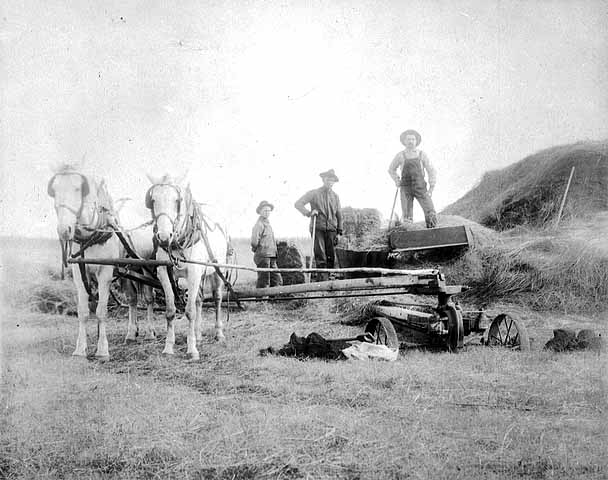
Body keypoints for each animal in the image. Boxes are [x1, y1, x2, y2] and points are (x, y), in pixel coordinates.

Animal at [48, 167, 157, 358]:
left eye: (78, 189)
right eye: (54, 190)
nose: (64, 230)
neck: (92, 235)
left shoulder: (105, 273)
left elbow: (101, 311)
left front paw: (102, 350)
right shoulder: (79, 273)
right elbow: (83, 312)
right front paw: (80, 349)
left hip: (146, 266)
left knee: (149, 298)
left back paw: (150, 332)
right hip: (127, 271)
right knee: (132, 299)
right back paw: (131, 333)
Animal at [145, 173, 230, 360]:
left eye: (177, 200)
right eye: (153, 200)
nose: (163, 237)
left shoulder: (194, 271)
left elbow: (190, 311)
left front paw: (192, 350)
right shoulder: (164, 272)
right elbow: (170, 310)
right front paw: (169, 347)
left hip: (216, 270)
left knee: (217, 298)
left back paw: (219, 333)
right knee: (199, 299)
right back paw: (197, 334)